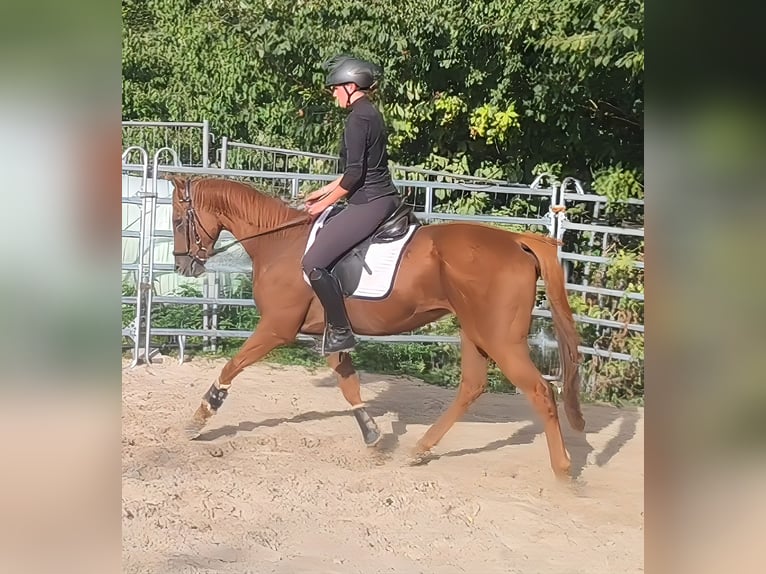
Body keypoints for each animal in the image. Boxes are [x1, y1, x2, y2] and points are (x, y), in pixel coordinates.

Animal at [168, 176, 585, 478]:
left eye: (175, 220)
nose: (183, 265)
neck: (280, 243)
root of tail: (517, 240)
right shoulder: (329, 333)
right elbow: (349, 383)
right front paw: (372, 436)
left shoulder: (276, 328)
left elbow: (232, 366)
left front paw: (199, 417)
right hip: (475, 331)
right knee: (472, 386)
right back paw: (421, 449)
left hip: (500, 337)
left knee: (540, 391)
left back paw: (564, 471)